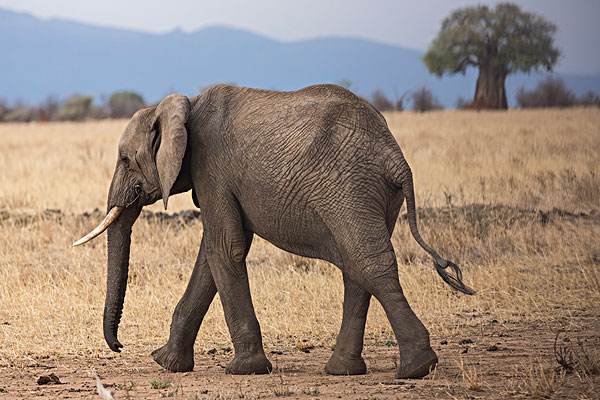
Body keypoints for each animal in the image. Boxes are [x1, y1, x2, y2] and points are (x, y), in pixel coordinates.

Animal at [74, 83, 474, 378]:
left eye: (125, 159)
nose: (119, 346)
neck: (184, 104)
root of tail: (396, 157)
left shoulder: (212, 169)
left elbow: (225, 248)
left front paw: (243, 370)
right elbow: (212, 255)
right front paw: (167, 363)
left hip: (349, 189)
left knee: (368, 263)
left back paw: (417, 368)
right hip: (370, 194)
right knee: (356, 266)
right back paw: (344, 371)